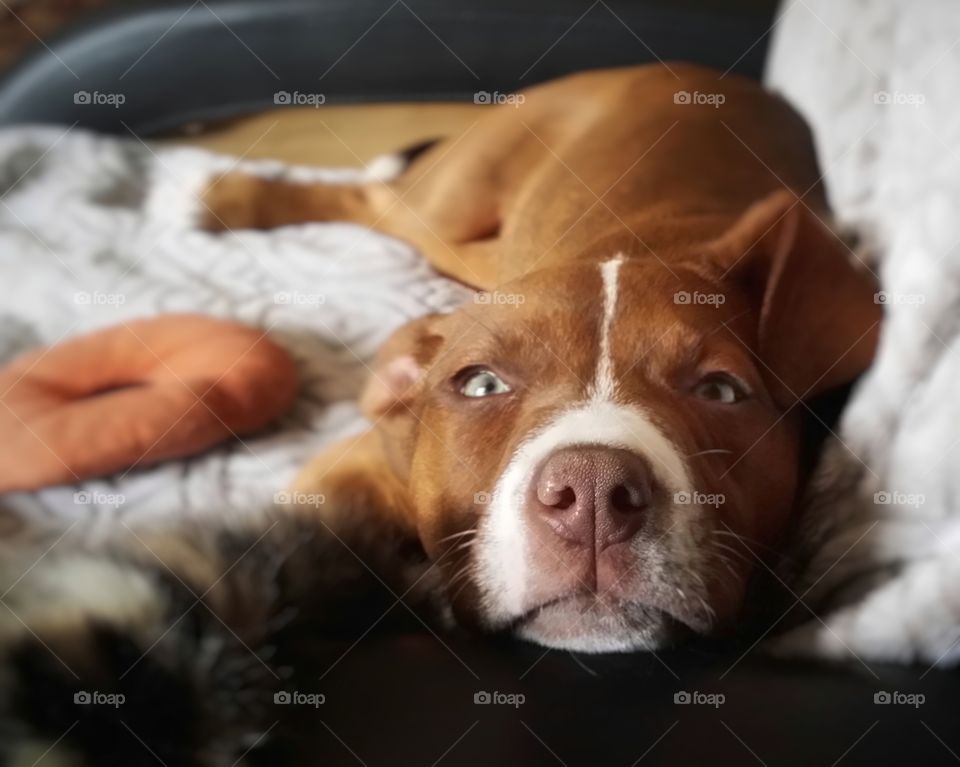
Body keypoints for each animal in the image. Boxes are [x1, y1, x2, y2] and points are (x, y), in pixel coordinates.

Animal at [206, 67, 880, 656]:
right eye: (480, 384)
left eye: (720, 390)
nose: (593, 491)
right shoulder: (347, 472)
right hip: (454, 205)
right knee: (372, 196)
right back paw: (237, 197)